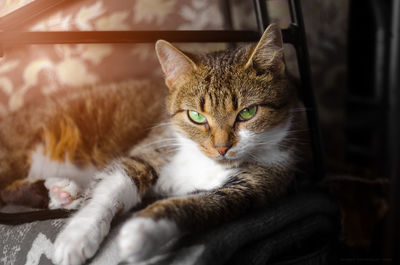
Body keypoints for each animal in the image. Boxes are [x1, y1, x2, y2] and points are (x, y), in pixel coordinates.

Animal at [0, 23, 300, 262]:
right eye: (196, 116)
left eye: (247, 113)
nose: (222, 147)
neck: (202, 160)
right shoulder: (152, 148)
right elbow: (112, 185)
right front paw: (75, 238)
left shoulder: (261, 179)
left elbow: (202, 205)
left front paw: (142, 232)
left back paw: (56, 192)